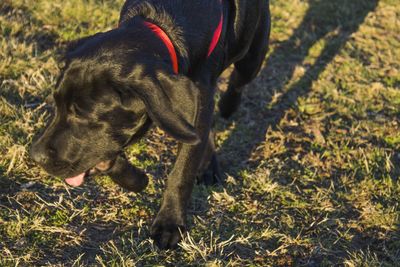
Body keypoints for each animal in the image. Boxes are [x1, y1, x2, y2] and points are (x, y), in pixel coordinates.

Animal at [29, 0, 270, 249]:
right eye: (57, 105)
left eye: (83, 115)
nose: (35, 156)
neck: (161, 24)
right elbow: (110, 156)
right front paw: (137, 180)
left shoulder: (196, 106)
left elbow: (181, 172)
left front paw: (169, 224)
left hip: (252, 56)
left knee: (238, 81)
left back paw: (227, 107)